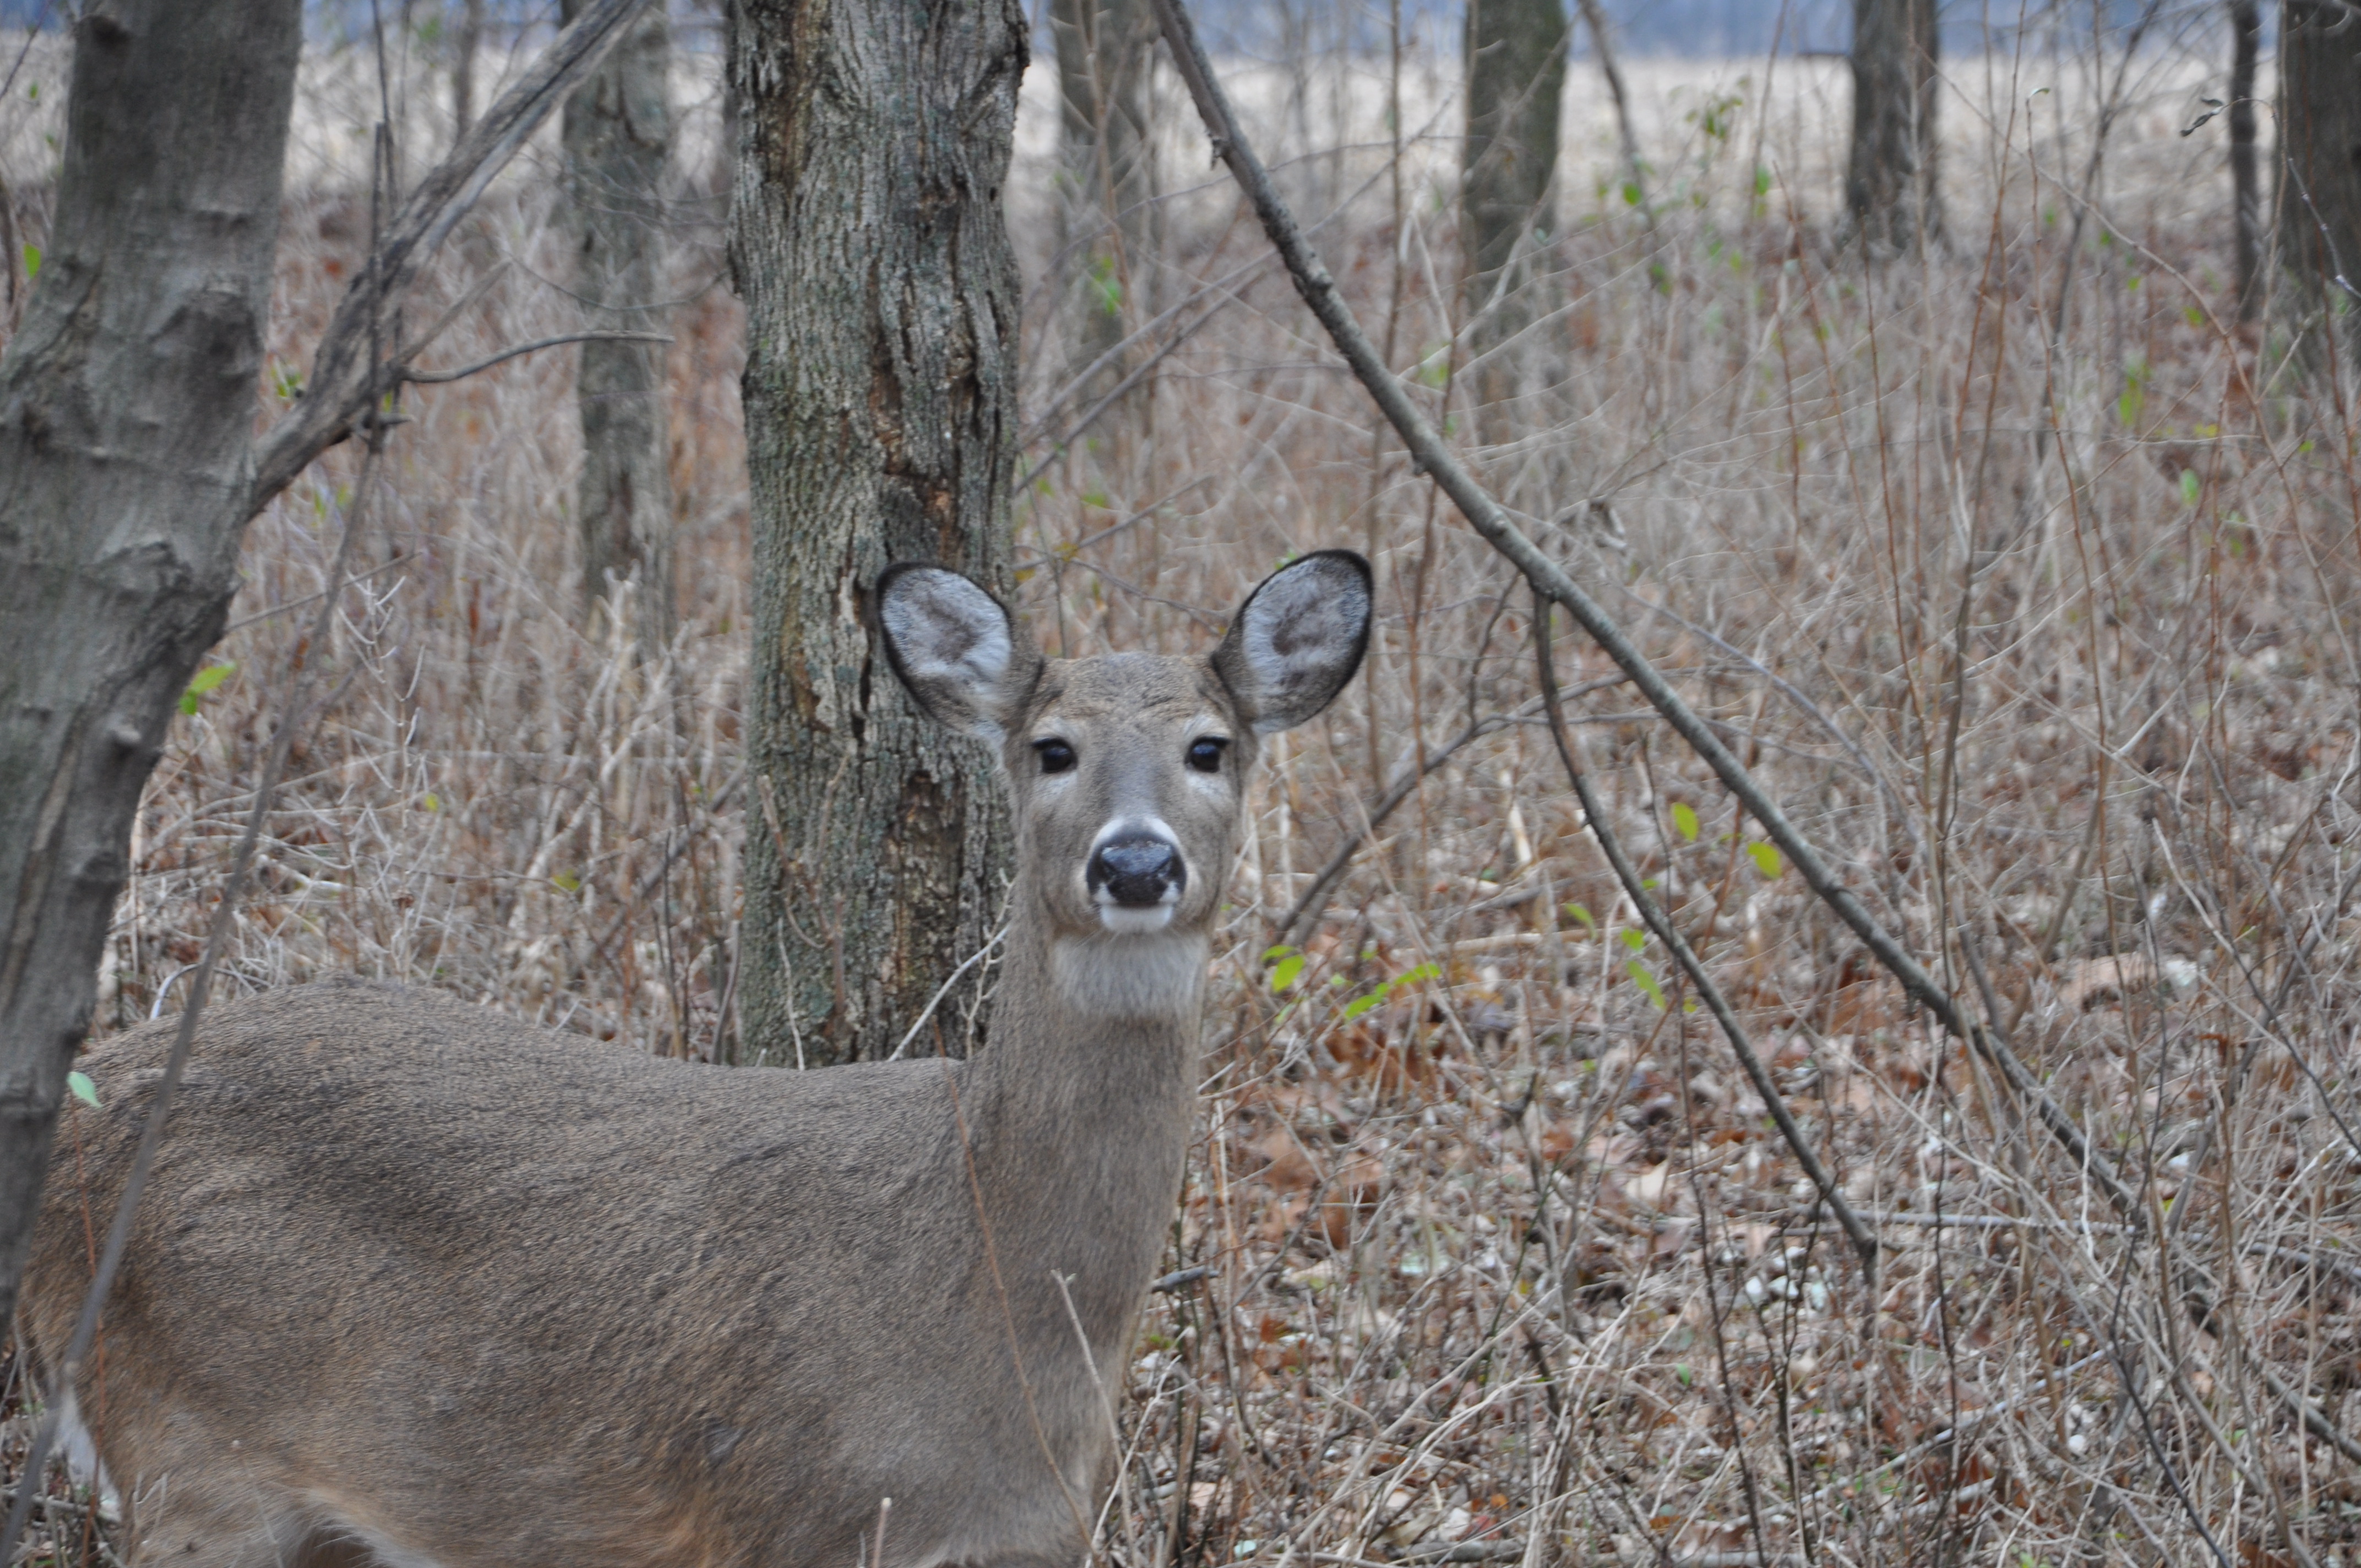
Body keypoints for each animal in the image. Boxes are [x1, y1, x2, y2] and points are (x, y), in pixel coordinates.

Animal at [18, 550, 1379, 1567]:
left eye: (1209, 746)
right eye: (1051, 747)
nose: (1136, 861)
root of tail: (71, 1127)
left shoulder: (1031, 1532)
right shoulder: (790, 1509)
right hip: (190, 1447)